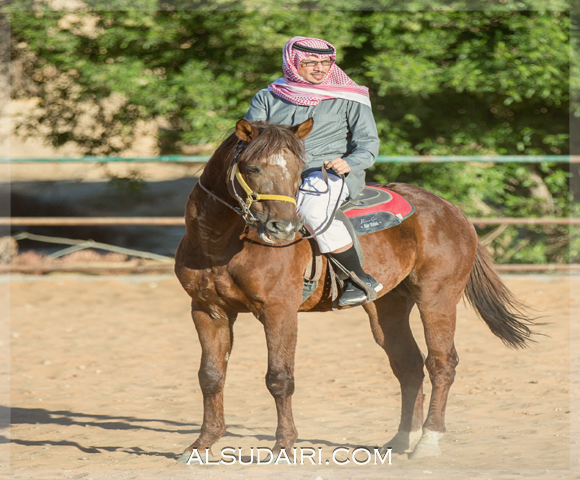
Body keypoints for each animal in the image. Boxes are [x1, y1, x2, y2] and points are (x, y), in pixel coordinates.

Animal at [173, 116, 536, 462]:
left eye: (297, 170)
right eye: (253, 167)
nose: (284, 228)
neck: (220, 243)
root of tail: (451, 210)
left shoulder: (279, 311)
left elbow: (279, 378)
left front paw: (283, 446)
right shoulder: (208, 311)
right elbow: (211, 376)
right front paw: (202, 444)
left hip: (438, 298)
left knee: (441, 363)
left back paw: (428, 441)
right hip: (388, 307)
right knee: (408, 366)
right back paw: (402, 440)